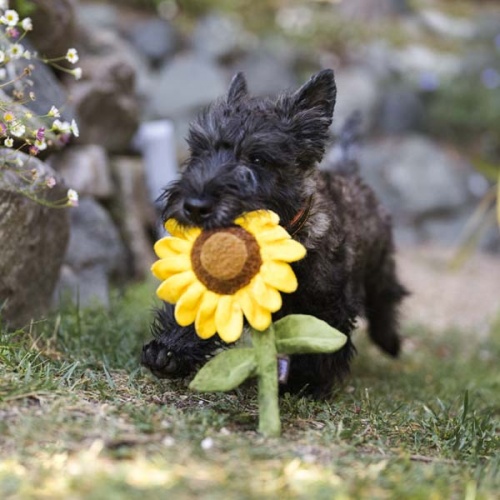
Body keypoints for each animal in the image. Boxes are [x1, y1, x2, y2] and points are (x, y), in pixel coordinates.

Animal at [141, 70, 406, 396]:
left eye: (257, 159)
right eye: (201, 150)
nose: (194, 206)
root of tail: (349, 171)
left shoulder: (327, 303)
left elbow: (319, 340)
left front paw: (304, 382)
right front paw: (168, 352)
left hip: (380, 262)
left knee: (387, 295)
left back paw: (389, 341)